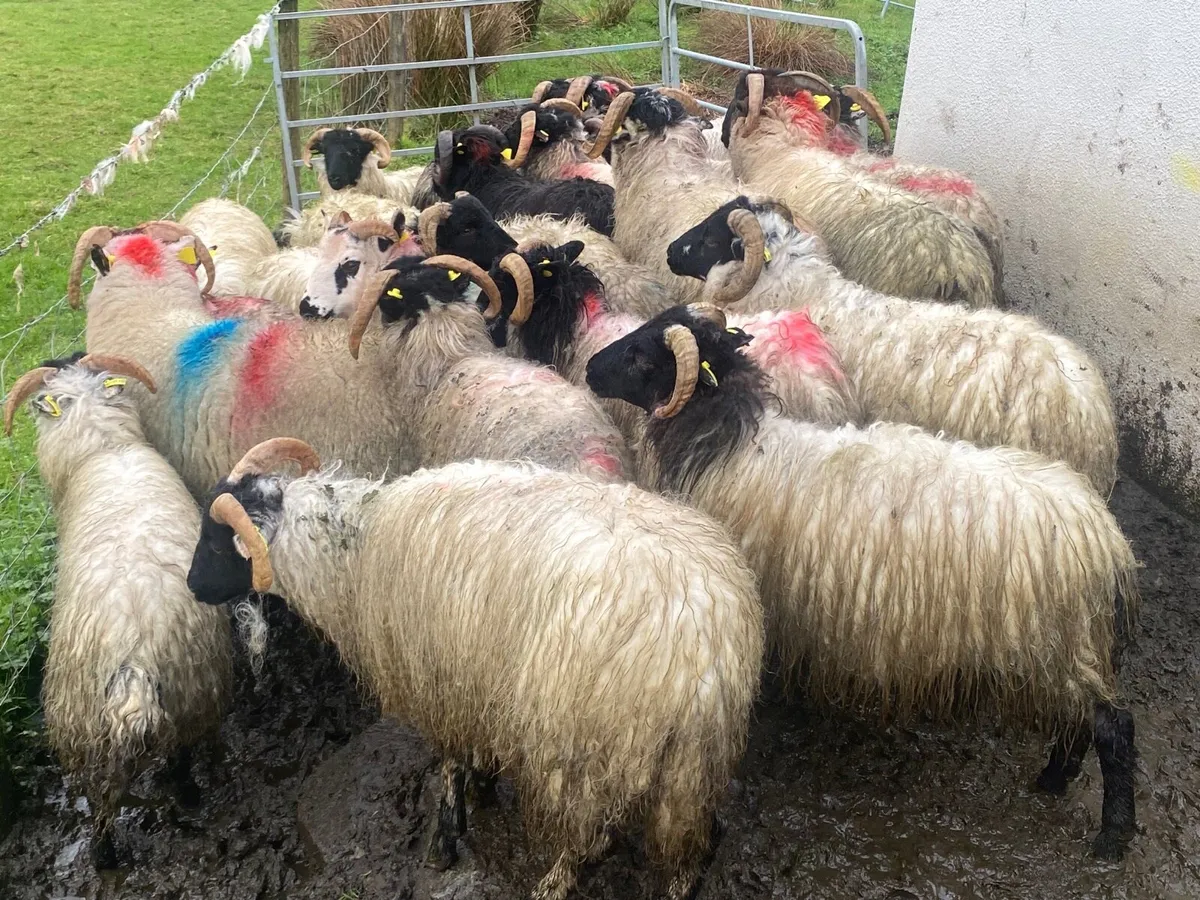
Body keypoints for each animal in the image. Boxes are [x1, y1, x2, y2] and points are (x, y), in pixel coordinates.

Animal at [3, 353, 231, 866]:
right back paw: (186, 798)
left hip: (77, 720)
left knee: (104, 799)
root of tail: (136, 661)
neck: (105, 446)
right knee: (180, 754)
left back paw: (106, 853)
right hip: (192, 692)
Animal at [186, 437, 764, 900]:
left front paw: (444, 839)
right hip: (691, 761)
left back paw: (552, 883)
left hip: (578, 741)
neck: (354, 553)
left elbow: (449, 763)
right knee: (688, 848)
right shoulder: (476, 680)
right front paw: (484, 786)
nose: (192, 587)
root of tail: (705, 641)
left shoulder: (440, 681)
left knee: (585, 833)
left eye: (215, 541)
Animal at [585, 304, 1139, 860]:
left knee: (1112, 727)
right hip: (1067, 648)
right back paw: (1056, 779)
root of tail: (1106, 537)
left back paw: (1111, 835)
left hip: (1056, 644)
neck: (733, 449)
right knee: (1079, 724)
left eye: (641, 356)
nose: (589, 368)